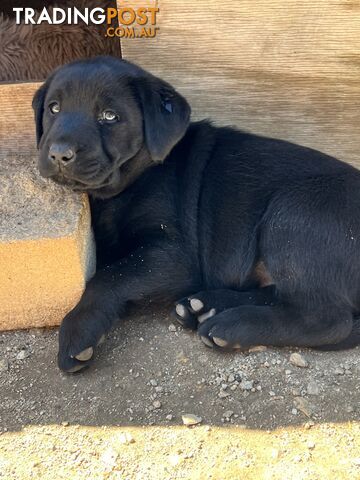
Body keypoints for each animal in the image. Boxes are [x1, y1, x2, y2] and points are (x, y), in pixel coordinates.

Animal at [32, 55, 358, 372]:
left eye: (109, 116)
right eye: (54, 108)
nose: (59, 154)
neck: (124, 188)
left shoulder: (173, 255)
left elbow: (108, 277)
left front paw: (79, 329)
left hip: (293, 212)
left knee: (327, 319)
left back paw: (231, 326)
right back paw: (205, 305)